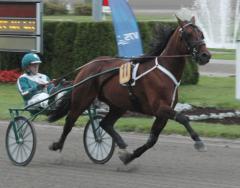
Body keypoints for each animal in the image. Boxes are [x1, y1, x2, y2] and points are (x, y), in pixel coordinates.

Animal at [48, 17, 210, 164]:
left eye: (201, 34)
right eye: (188, 34)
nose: (205, 55)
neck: (164, 71)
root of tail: (87, 65)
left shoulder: (162, 114)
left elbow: (152, 140)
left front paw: (129, 157)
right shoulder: (160, 108)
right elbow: (183, 118)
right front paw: (198, 141)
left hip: (119, 105)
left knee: (105, 124)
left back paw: (121, 144)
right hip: (82, 98)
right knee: (70, 121)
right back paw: (57, 145)